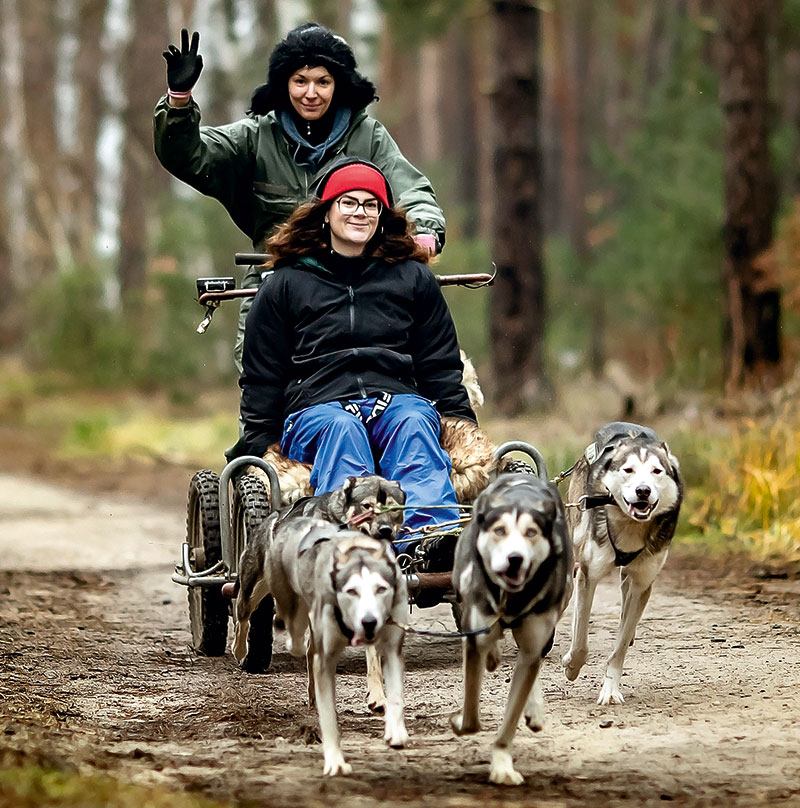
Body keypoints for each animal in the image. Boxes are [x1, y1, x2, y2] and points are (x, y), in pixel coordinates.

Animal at [250, 516, 410, 776]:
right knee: (297, 634)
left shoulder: (392, 647)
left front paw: (395, 731)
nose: (369, 621)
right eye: (351, 591)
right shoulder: (325, 659)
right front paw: (335, 761)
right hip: (287, 601)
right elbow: (328, 718)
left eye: (381, 588)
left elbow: (395, 693)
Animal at [450, 474, 576, 784]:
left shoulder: (534, 641)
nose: (515, 558)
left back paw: (534, 709)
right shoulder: (475, 636)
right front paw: (459, 720)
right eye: (500, 531)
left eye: (531, 533)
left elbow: (510, 718)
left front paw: (502, 764)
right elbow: (470, 719)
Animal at [560, 422, 684, 708]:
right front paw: (572, 665)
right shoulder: (588, 575)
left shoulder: (642, 583)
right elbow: (581, 641)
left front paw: (610, 689)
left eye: (657, 471)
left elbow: (619, 646)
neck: (630, 527)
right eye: (628, 470)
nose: (643, 490)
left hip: (630, 578)